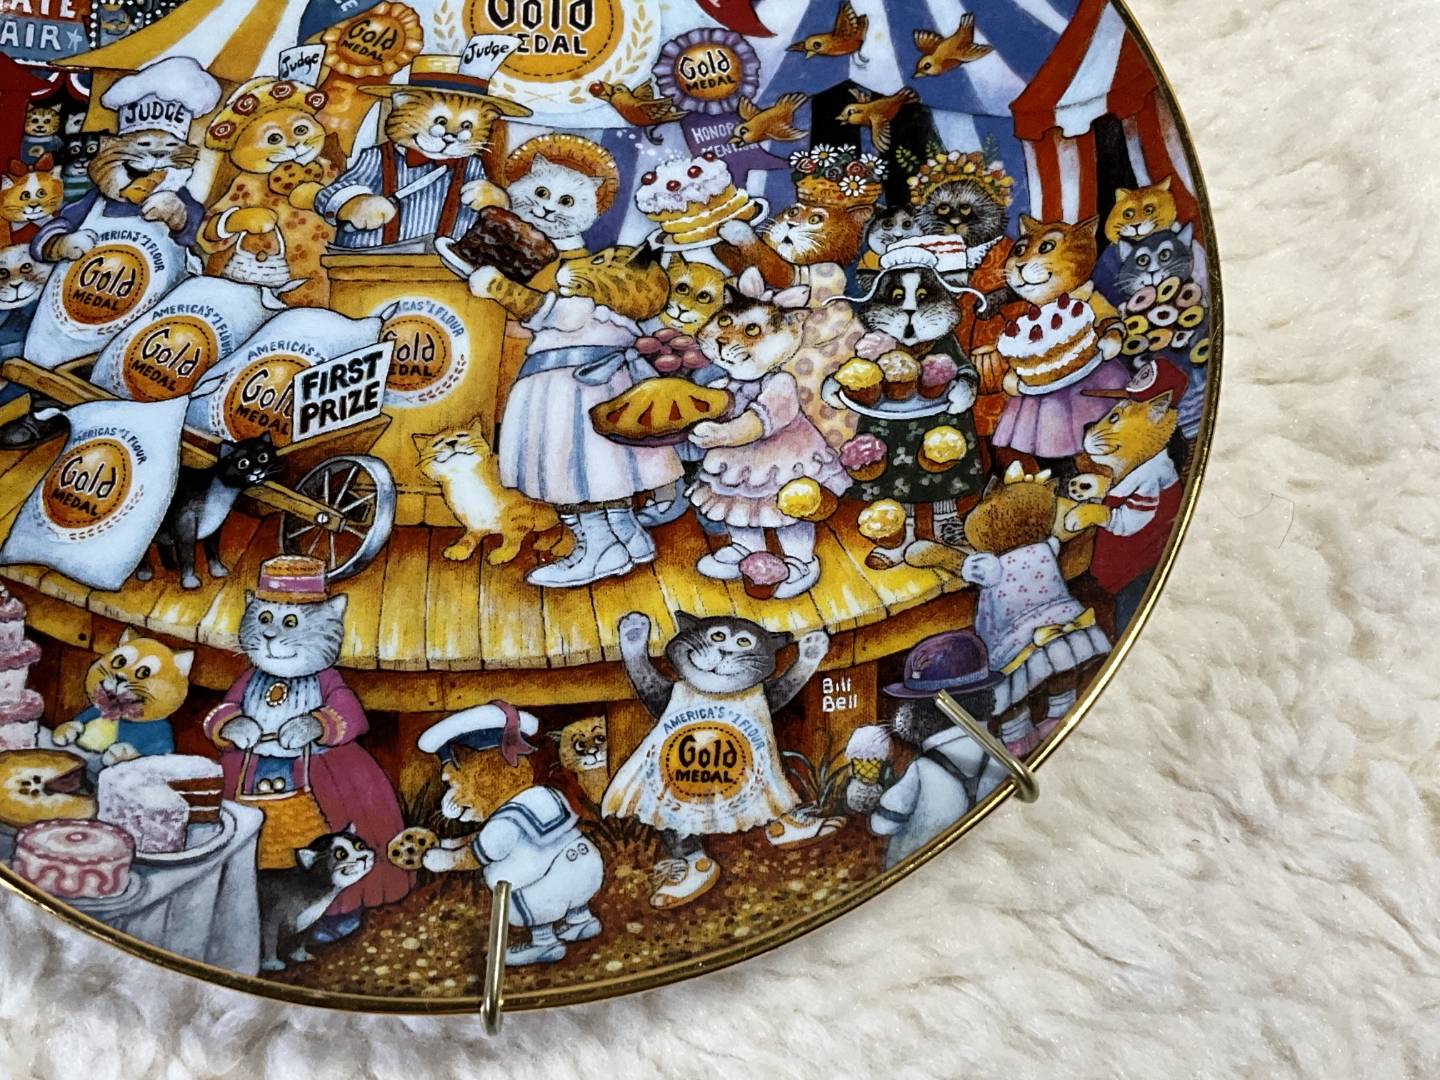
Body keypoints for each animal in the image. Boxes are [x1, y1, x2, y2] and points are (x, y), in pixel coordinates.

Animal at [51, 628, 194, 765]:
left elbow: (152, 754)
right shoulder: (90, 712)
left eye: (145, 672)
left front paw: (120, 753)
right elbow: (78, 721)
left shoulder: (160, 738)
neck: (115, 715)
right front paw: (68, 730)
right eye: (120, 661)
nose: (120, 678)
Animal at [137, 435, 284, 589]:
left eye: (263, 457)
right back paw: (145, 572)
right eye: (243, 463)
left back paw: (171, 565)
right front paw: (189, 581)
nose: (257, 472)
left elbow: (213, 551)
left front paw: (217, 570)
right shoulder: (185, 524)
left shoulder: (215, 527)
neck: (220, 497)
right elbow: (188, 556)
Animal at [257, 828, 374, 971]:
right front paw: (272, 963)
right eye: (340, 854)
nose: (363, 857)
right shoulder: (271, 917)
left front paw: (300, 955)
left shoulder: (307, 922)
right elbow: (270, 939)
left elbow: (301, 938)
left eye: (360, 846)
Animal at [412, 421, 570, 563]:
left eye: (462, 435)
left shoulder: (521, 513)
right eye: (438, 442)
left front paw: (503, 553)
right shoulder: (477, 523)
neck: (465, 479)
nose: (451, 442)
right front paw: (459, 549)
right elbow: (468, 538)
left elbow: (512, 537)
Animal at [602, 611, 837, 909]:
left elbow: (787, 684)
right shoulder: (662, 696)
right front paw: (633, 630)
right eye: (717, 636)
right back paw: (692, 880)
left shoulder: (768, 696)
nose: (724, 651)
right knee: (681, 836)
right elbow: (644, 678)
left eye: (744, 642)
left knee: (774, 805)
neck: (716, 694)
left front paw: (813, 648)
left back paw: (804, 829)